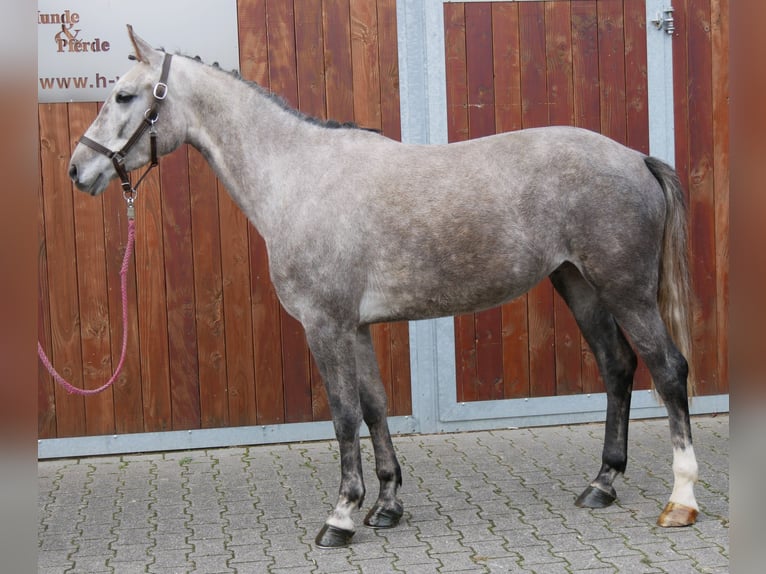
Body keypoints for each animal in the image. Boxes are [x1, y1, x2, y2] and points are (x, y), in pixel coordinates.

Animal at [68, 27, 700, 548]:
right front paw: (387, 505)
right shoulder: (357, 327)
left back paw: (681, 501)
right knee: (618, 369)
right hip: (581, 286)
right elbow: (374, 407)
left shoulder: (325, 324)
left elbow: (344, 414)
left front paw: (342, 517)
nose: (78, 169)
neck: (299, 177)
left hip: (625, 291)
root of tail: (636, 158)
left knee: (668, 370)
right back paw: (602, 484)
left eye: (124, 96)